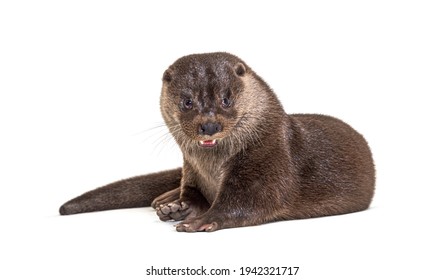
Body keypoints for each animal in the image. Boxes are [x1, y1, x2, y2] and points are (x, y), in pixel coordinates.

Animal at [59, 52, 374, 232]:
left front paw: (200, 221)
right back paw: (165, 200)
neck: (211, 169)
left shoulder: (267, 164)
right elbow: (193, 194)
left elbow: (247, 203)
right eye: (187, 102)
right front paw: (179, 208)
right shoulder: (192, 171)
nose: (209, 125)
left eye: (226, 99)